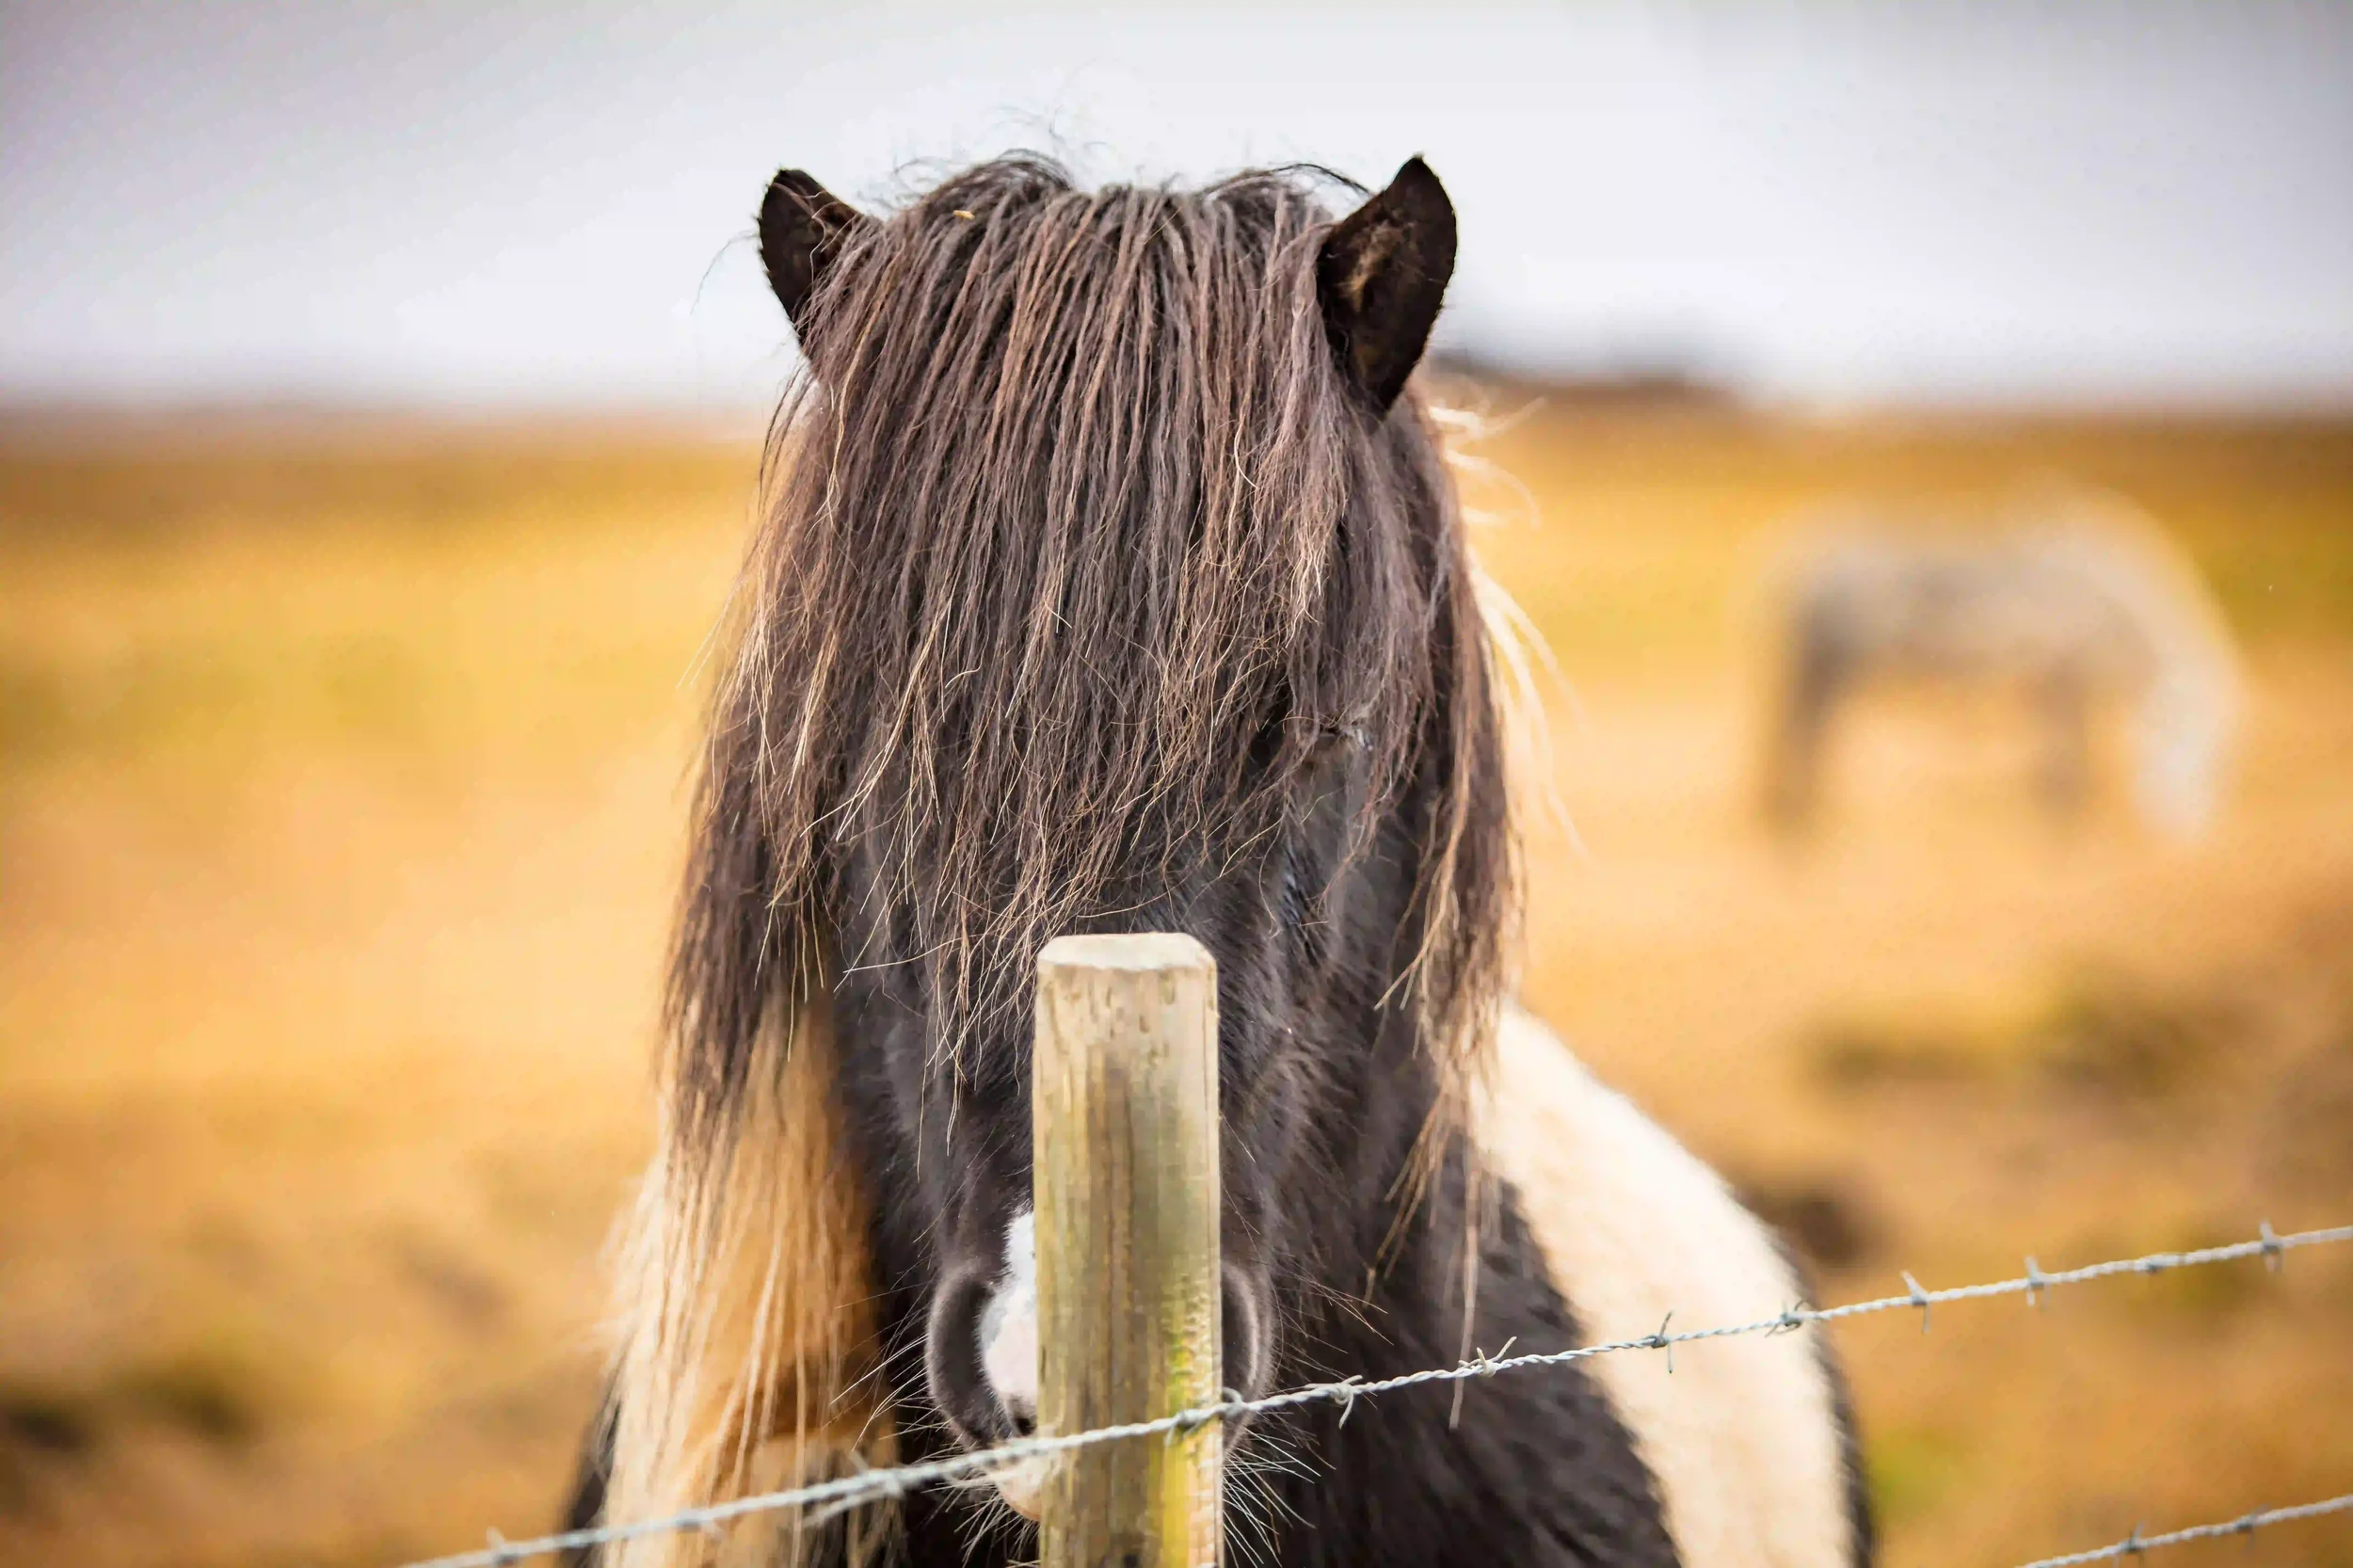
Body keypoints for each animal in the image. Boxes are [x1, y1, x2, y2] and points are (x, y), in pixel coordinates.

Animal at [1760, 489, 2241, 839]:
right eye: (2200, 755)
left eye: (2221, 771)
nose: (2190, 841)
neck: (2106, 604)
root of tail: (1804, 551)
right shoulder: (2064, 678)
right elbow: (2070, 757)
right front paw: (2067, 824)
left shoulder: (2043, 686)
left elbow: (2052, 759)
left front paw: (2054, 813)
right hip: (1834, 667)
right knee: (1808, 735)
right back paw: (1810, 822)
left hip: (1818, 667)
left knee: (1797, 733)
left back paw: (1796, 817)